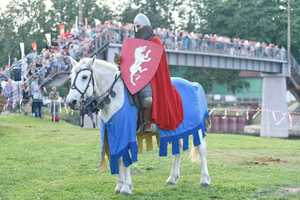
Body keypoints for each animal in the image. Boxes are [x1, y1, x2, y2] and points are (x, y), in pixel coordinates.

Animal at [65, 57, 211, 195]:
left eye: (84, 77)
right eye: (71, 77)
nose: (71, 102)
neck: (115, 96)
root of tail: (194, 85)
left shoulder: (125, 132)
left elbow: (125, 159)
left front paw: (126, 188)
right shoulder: (113, 133)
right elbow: (118, 158)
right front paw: (119, 185)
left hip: (195, 128)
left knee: (202, 149)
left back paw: (205, 179)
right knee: (178, 149)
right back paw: (172, 178)